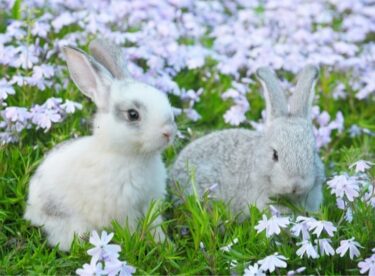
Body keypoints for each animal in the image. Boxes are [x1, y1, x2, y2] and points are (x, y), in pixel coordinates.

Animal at [25, 37, 178, 251]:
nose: (169, 132)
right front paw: (136, 245)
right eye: (133, 114)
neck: (132, 156)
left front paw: (165, 245)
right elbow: (131, 228)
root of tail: (30, 211)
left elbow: (156, 225)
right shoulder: (124, 210)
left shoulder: (151, 201)